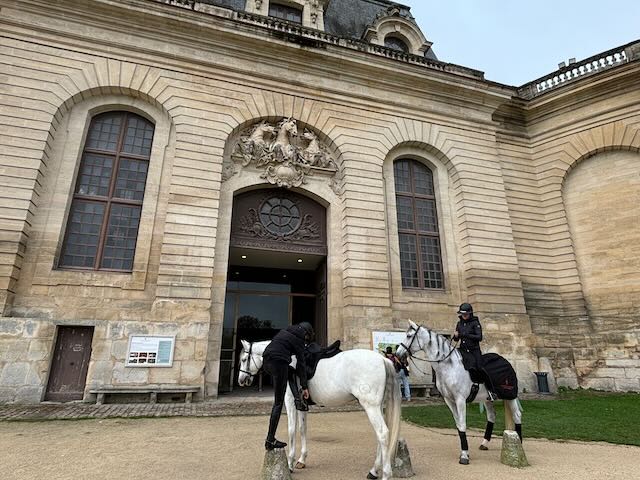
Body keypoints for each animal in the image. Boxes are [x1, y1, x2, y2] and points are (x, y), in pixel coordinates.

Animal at [238, 340, 402, 478]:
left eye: (244, 360)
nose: (241, 380)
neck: (287, 360)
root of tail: (382, 359)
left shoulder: (289, 401)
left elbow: (292, 430)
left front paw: (290, 463)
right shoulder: (301, 405)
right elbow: (302, 429)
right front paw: (301, 460)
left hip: (370, 406)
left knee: (383, 434)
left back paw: (385, 474)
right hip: (377, 407)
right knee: (380, 436)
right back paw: (373, 471)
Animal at [398, 320, 524, 464]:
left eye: (408, 336)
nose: (398, 353)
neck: (449, 367)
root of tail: (505, 361)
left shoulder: (460, 400)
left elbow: (463, 424)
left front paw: (464, 456)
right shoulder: (449, 401)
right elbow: (458, 425)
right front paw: (465, 452)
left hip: (510, 396)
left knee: (517, 415)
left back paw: (518, 443)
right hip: (487, 399)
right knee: (491, 416)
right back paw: (485, 443)